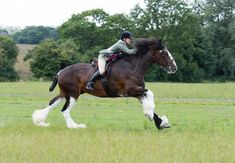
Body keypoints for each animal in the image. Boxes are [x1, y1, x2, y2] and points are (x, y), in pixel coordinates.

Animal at [32, 38, 177, 130]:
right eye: (164, 52)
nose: (174, 68)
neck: (133, 66)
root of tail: (60, 72)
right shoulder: (130, 91)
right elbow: (150, 94)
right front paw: (150, 114)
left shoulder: (137, 91)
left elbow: (148, 100)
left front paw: (160, 122)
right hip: (73, 94)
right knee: (65, 110)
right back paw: (75, 126)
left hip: (65, 93)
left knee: (52, 104)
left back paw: (40, 121)